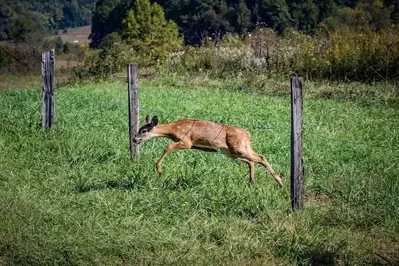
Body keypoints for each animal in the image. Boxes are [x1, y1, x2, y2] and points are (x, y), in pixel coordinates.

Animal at [134, 115, 284, 187]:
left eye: (144, 130)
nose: (135, 139)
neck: (172, 129)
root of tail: (248, 134)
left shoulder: (187, 141)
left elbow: (168, 147)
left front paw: (159, 170)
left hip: (238, 148)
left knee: (261, 158)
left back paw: (280, 182)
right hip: (233, 151)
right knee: (252, 161)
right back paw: (252, 182)